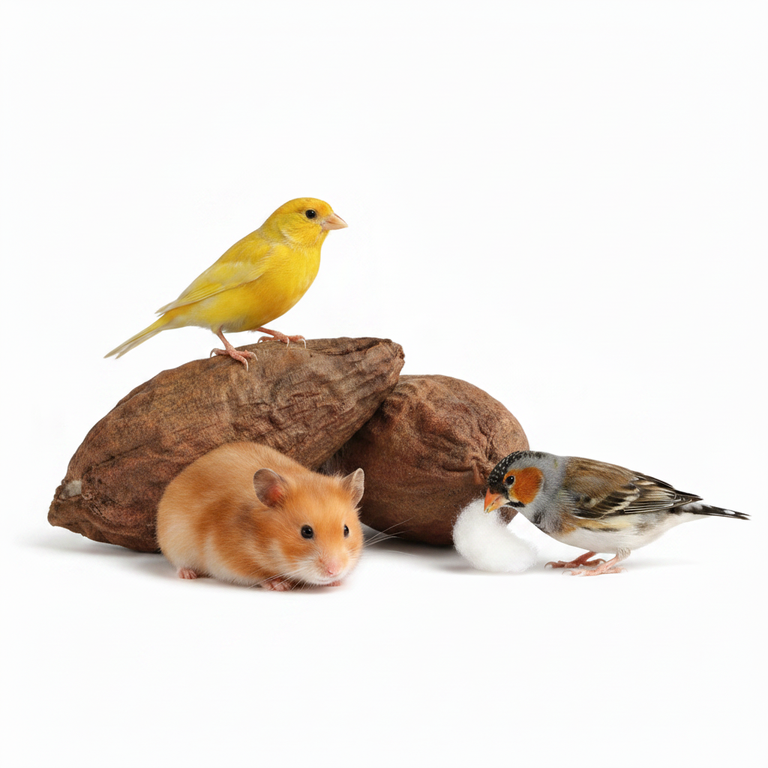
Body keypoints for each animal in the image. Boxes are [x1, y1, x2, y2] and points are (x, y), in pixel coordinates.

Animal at [156, 442, 365, 591]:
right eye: (306, 532)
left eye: (346, 530)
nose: (334, 571)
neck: (264, 541)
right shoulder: (227, 560)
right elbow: (258, 576)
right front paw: (280, 585)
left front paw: (336, 583)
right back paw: (188, 574)